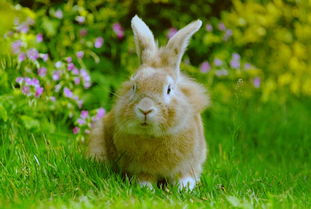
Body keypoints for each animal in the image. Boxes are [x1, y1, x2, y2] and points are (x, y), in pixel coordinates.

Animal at [88, 15, 210, 191]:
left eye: (169, 89)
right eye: (133, 87)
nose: (145, 110)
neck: (152, 136)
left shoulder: (188, 165)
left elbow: (185, 178)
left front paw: (184, 190)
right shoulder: (140, 169)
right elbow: (144, 180)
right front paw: (146, 190)